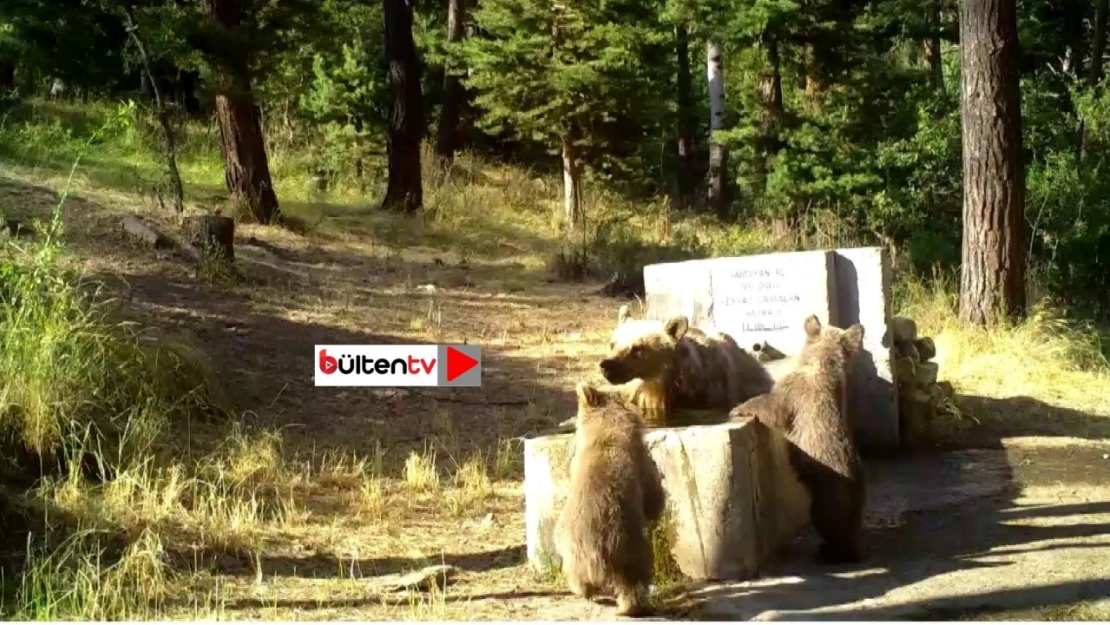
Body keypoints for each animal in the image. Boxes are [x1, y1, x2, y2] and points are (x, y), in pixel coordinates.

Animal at [559, 381, 661, 617]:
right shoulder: (641, 463)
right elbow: (653, 495)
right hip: (626, 544)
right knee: (633, 578)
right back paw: (631, 606)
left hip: (574, 546)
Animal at [728, 315, 865, 563]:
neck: (822, 364)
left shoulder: (795, 394)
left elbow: (772, 406)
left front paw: (738, 408)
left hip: (829, 496)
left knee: (830, 524)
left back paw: (830, 551)